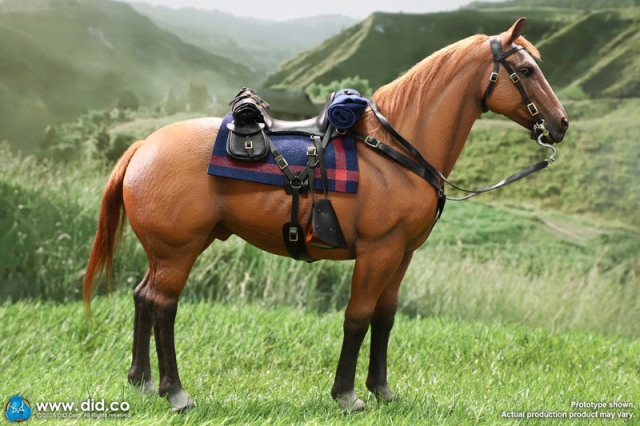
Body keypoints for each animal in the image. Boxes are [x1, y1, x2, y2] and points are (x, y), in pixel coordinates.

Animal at [83, 18, 568, 412]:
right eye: (526, 70)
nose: (561, 123)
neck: (394, 149)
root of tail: (144, 146)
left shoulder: (402, 255)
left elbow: (385, 317)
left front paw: (382, 390)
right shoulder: (377, 252)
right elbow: (357, 317)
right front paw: (347, 395)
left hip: (167, 251)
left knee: (142, 297)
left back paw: (142, 381)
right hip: (177, 252)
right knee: (163, 306)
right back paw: (175, 392)